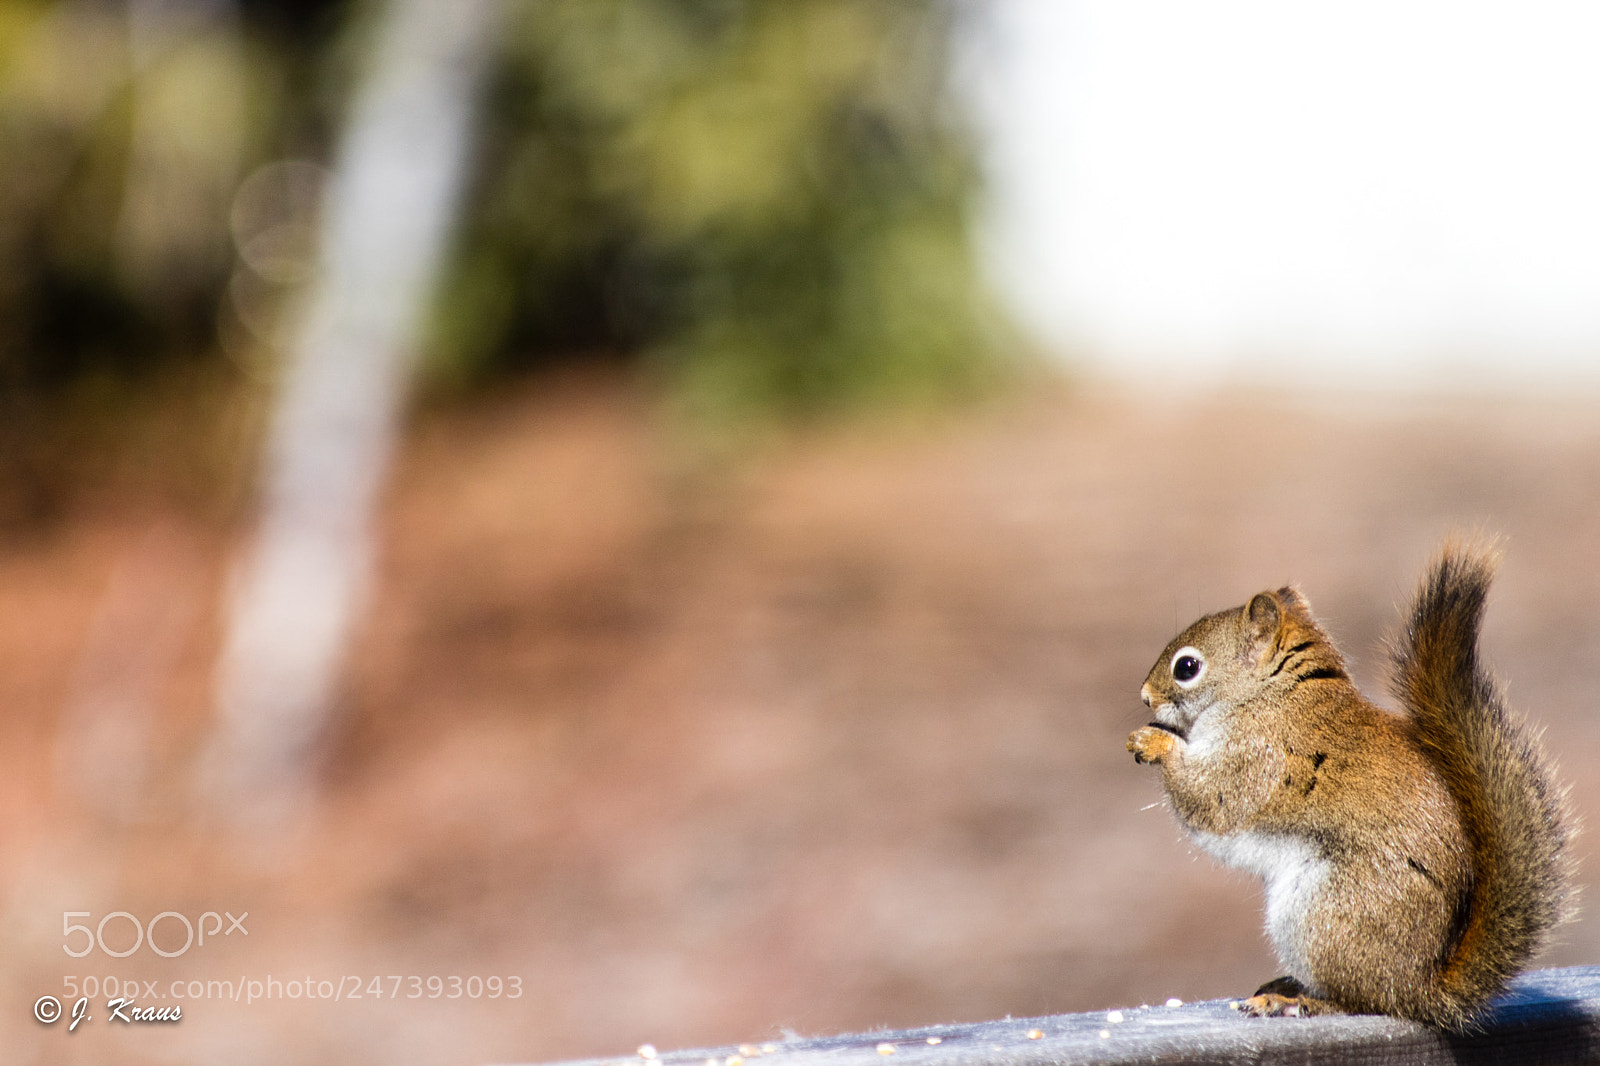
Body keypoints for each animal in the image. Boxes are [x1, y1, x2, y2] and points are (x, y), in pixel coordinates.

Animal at [1126, 541, 1574, 1031]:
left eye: (1187, 667)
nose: (1146, 696)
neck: (1271, 695)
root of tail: (1421, 989)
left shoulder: (1260, 757)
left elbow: (1211, 798)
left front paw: (1153, 742)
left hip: (1323, 915)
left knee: (1362, 1000)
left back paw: (1295, 1001)